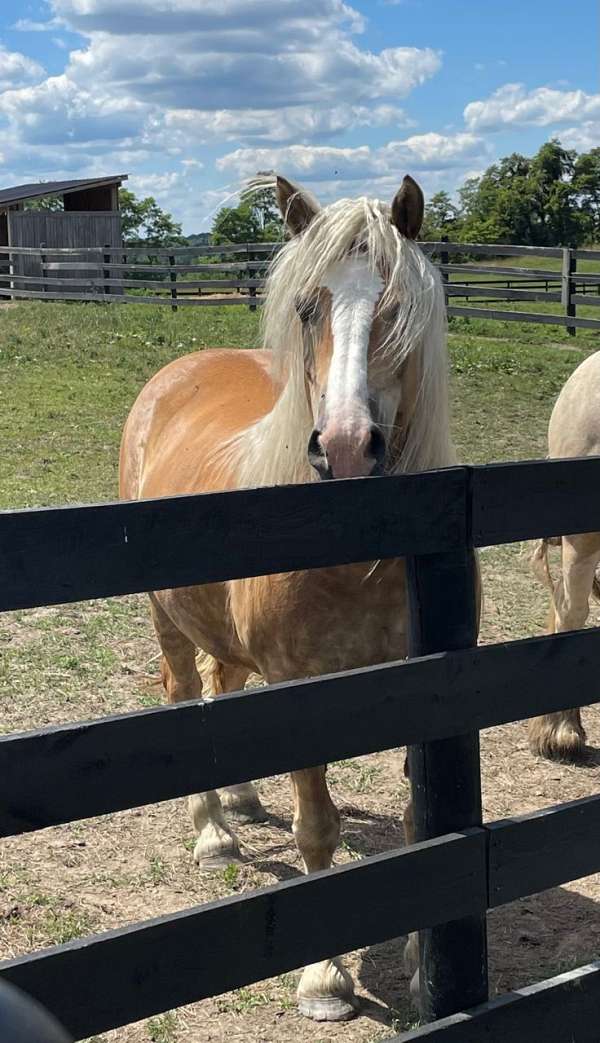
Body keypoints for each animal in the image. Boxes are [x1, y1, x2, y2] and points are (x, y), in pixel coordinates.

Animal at [118, 175, 454, 1022]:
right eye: (307, 308)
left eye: (396, 305)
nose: (345, 446)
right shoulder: (302, 691)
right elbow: (317, 832)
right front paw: (325, 980)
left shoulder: (423, 689)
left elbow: (417, 824)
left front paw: (418, 964)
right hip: (167, 617)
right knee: (184, 694)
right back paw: (213, 834)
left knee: (226, 693)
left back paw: (240, 799)